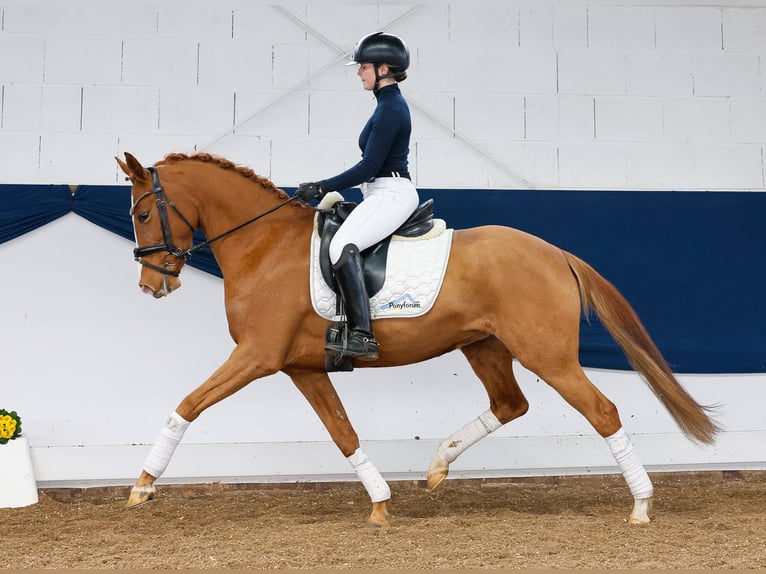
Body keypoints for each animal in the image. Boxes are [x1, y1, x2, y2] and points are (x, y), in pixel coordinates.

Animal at [115, 152, 720, 528]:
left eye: (143, 212)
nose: (151, 285)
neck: (263, 246)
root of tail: (556, 253)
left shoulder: (257, 356)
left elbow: (188, 404)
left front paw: (143, 485)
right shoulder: (301, 367)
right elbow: (343, 433)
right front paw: (381, 504)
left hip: (547, 355)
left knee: (603, 411)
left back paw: (641, 505)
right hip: (485, 346)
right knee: (511, 404)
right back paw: (437, 465)